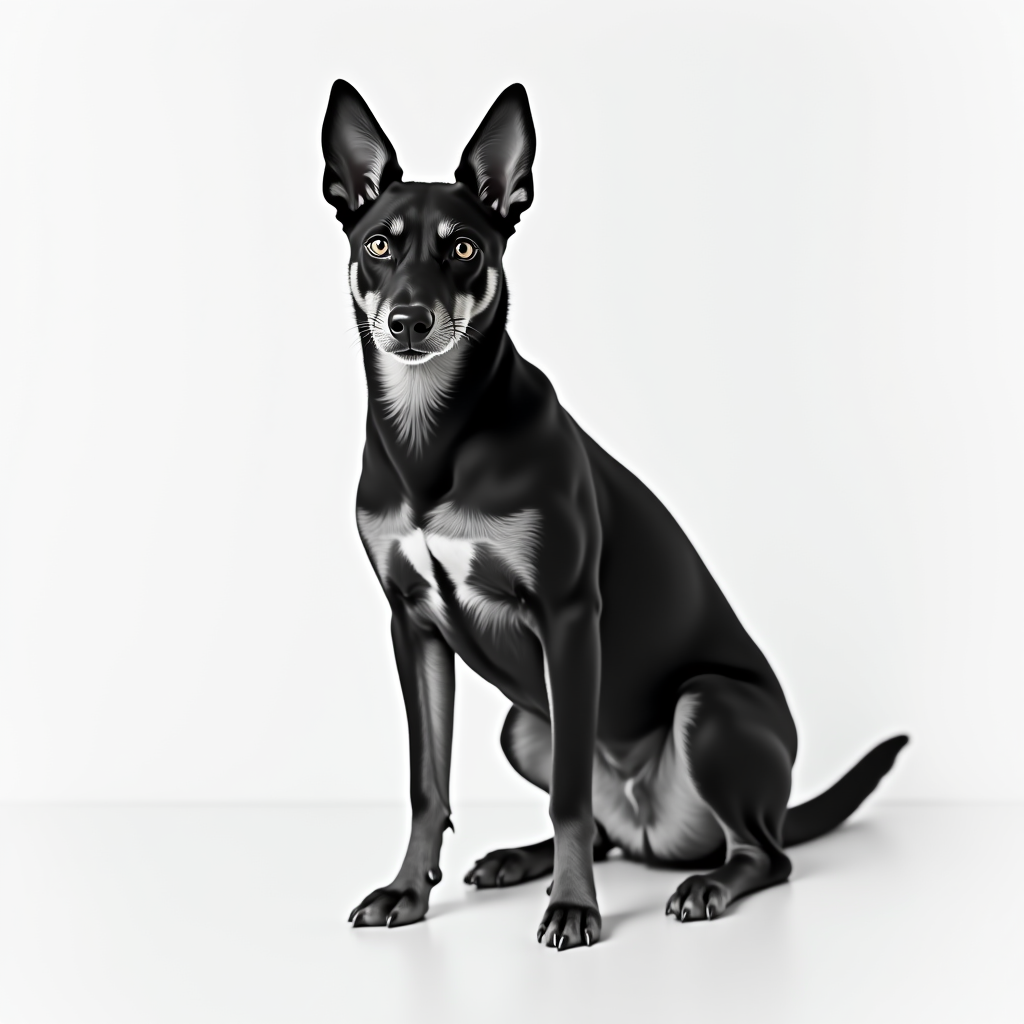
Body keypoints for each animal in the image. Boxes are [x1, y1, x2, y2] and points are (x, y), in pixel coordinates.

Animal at [323, 81, 909, 950]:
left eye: (462, 248)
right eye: (377, 246)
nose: (408, 321)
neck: (433, 435)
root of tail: (655, 831)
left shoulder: (567, 618)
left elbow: (568, 797)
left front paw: (575, 908)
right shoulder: (413, 626)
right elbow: (428, 783)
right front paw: (407, 891)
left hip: (710, 708)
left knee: (763, 855)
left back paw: (706, 884)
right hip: (524, 726)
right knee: (606, 828)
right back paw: (521, 859)